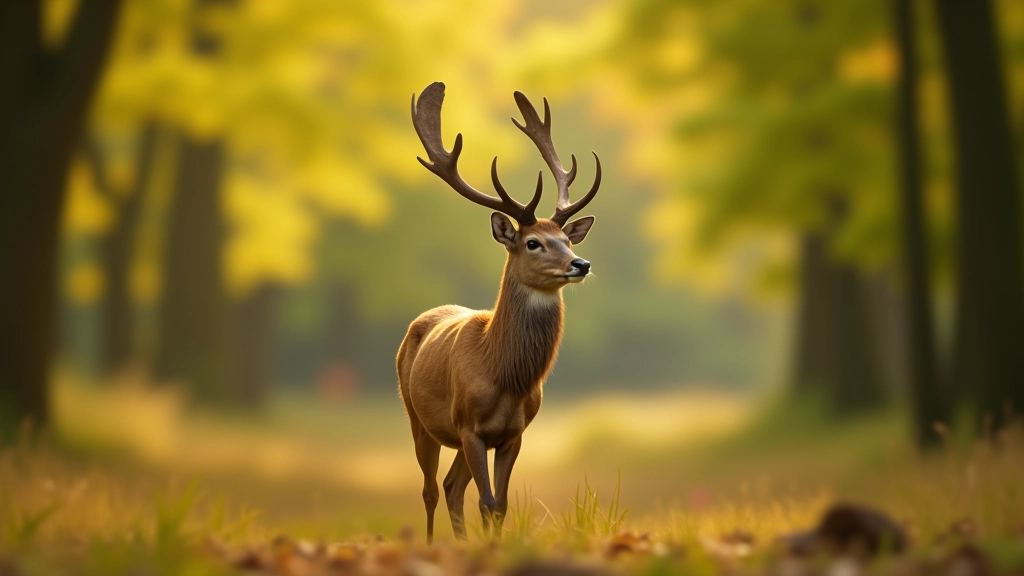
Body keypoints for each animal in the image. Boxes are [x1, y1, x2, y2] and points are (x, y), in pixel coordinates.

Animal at [397, 82, 601, 543]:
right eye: (533, 243)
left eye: (567, 239)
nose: (580, 264)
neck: (504, 376)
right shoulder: (468, 425)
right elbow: (487, 502)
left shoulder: (514, 433)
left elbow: (500, 505)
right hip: (417, 416)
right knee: (430, 489)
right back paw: (433, 542)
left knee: (451, 486)